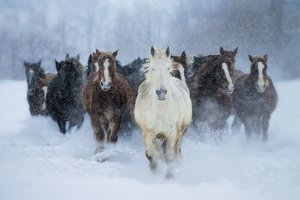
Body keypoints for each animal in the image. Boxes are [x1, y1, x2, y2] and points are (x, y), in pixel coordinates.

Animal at [134, 46, 192, 178]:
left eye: (168, 68)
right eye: (153, 68)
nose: (161, 92)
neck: (161, 111)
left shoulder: (172, 133)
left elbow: (169, 156)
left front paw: (169, 176)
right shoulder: (147, 132)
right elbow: (150, 154)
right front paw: (155, 169)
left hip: (182, 131)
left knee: (175, 149)